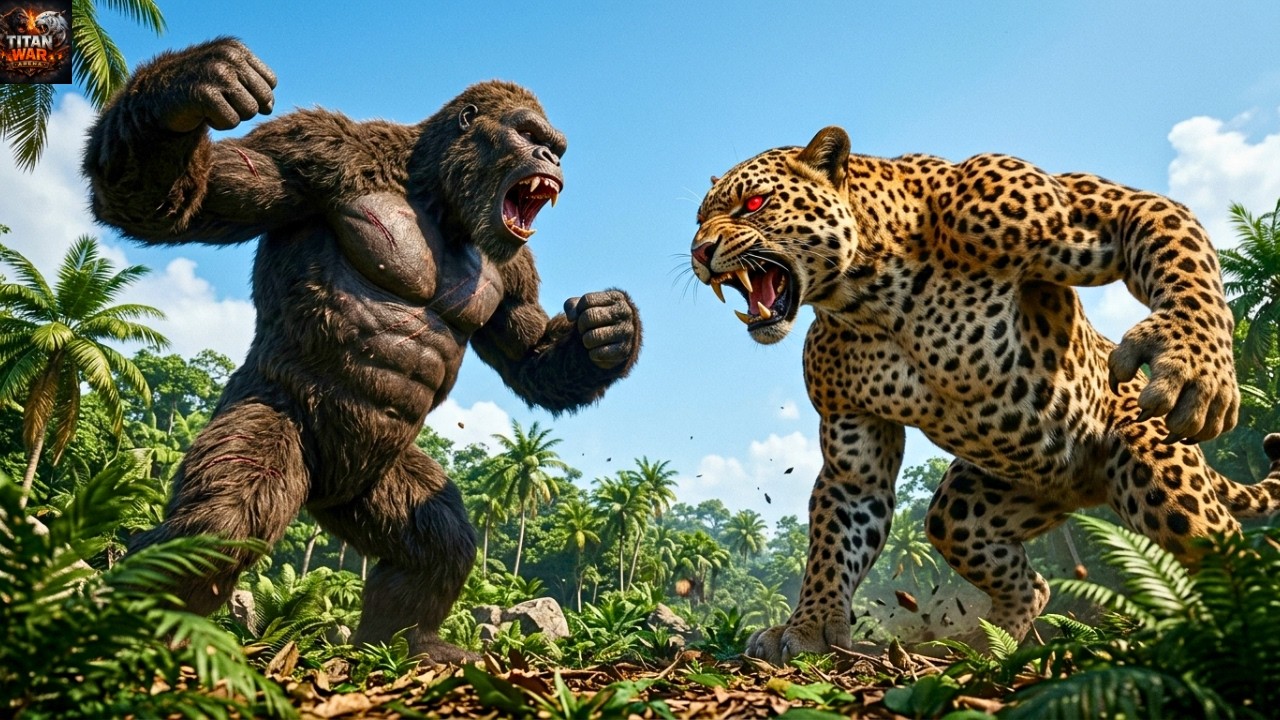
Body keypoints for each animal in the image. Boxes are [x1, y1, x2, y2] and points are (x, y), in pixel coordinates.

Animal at [689, 125, 1280, 664]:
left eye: (754, 204)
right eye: (699, 220)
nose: (699, 251)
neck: (868, 294)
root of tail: (1085, 490)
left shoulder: (1075, 209)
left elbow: (1174, 246)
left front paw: (1194, 364)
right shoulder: (852, 443)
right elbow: (836, 539)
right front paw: (809, 625)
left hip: (1162, 473)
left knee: (1222, 544)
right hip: (974, 505)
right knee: (1024, 577)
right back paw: (985, 646)